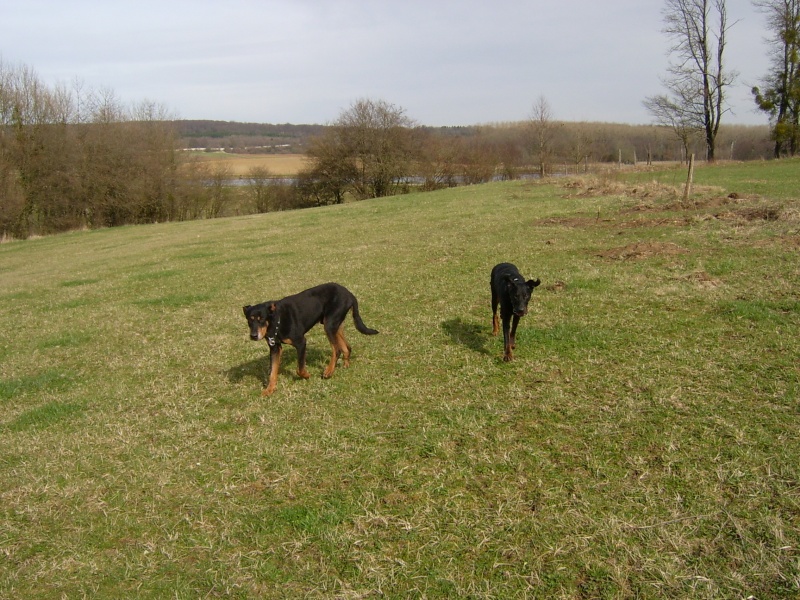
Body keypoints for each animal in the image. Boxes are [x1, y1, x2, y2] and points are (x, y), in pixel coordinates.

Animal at [242, 284, 376, 396]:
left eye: (261, 319)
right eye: (249, 320)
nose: (253, 336)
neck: (276, 321)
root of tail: (349, 293)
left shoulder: (301, 342)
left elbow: (299, 368)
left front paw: (306, 375)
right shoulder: (275, 348)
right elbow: (272, 372)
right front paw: (269, 389)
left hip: (329, 324)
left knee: (336, 349)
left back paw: (328, 371)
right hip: (335, 324)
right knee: (346, 347)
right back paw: (345, 364)